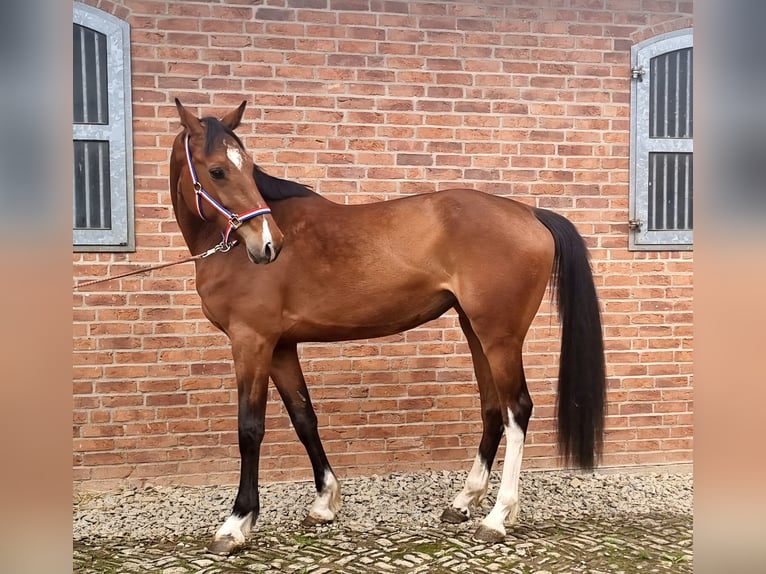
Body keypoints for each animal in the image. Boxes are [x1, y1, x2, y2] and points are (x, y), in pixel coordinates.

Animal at [169, 99, 606, 554]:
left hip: (500, 336)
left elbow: (250, 429)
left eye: (247, 167)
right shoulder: (281, 347)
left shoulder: (251, 341)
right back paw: (463, 502)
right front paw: (324, 503)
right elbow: (304, 418)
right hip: (475, 330)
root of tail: (529, 213)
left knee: (516, 409)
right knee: (491, 409)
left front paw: (236, 523)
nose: (269, 244)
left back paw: (498, 517)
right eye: (217, 170)